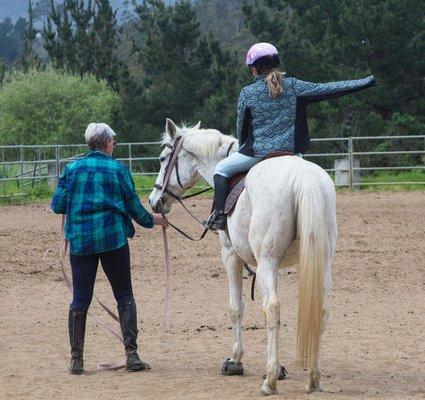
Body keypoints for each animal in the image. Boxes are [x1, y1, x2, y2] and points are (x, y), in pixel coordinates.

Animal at [147, 119, 336, 396]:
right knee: (320, 311)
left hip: (267, 260)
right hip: (320, 262)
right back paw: (313, 378)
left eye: (162, 159)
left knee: (272, 309)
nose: (154, 201)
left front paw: (235, 361)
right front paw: (279, 368)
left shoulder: (231, 256)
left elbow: (236, 308)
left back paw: (269, 383)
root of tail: (303, 177)